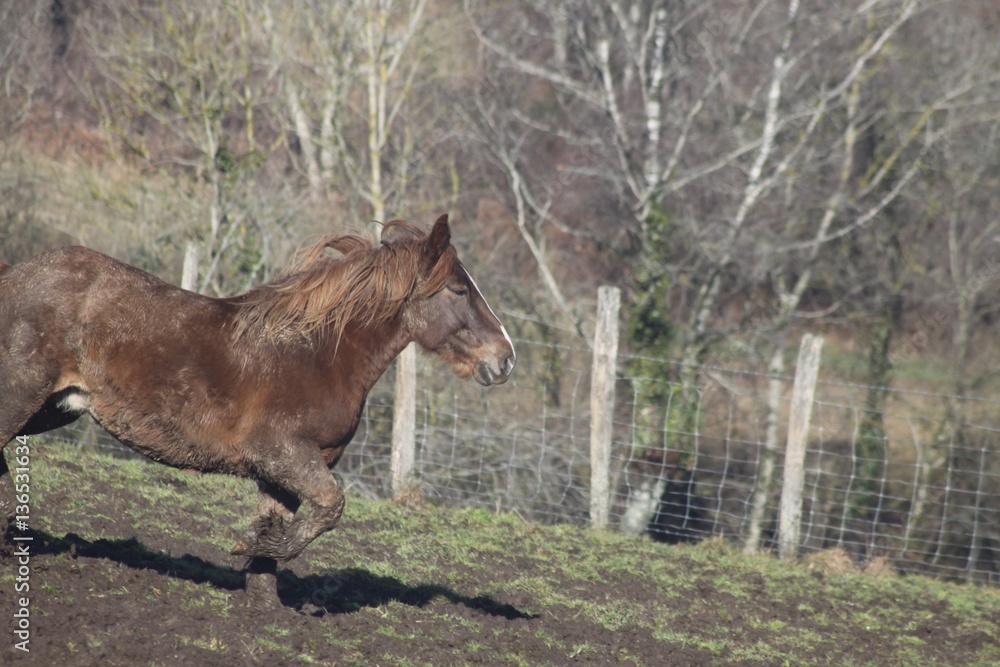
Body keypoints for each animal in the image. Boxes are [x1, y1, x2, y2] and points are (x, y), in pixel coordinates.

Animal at [0, 214, 515, 608]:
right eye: (458, 290)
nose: (506, 359)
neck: (319, 353)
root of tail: (15, 274)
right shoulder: (281, 453)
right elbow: (331, 508)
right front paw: (247, 544)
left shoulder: (286, 472)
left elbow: (286, 527)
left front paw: (265, 605)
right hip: (22, 395)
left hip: (57, 407)